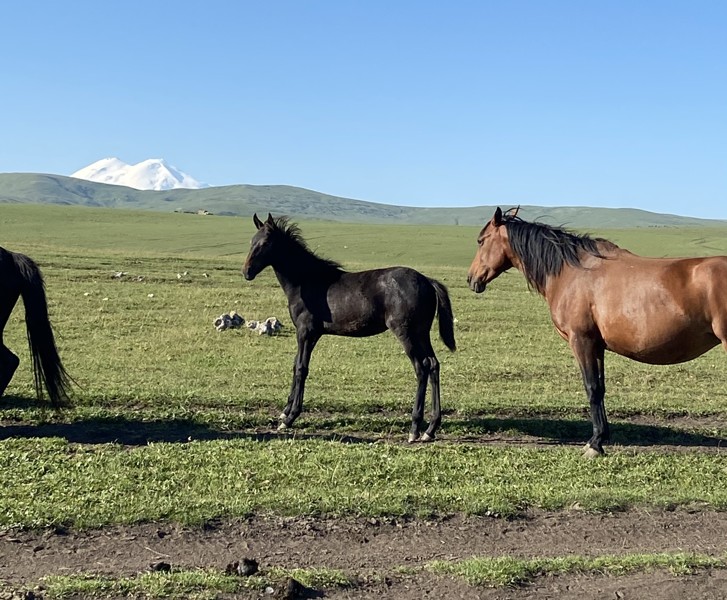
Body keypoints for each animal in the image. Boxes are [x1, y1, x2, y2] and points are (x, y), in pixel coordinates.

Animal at [466, 209, 727, 458]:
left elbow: (591, 388)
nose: (471, 279)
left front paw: (594, 444)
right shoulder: (597, 346)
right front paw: (601, 438)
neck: (571, 272)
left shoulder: (581, 341)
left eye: (481, 241)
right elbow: (600, 388)